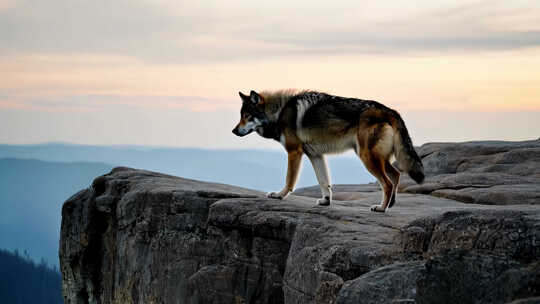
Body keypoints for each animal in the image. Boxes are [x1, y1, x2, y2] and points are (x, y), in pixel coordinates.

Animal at [230, 90, 424, 213]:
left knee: (388, 183)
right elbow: (324, 181)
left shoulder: (294, 152)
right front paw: (326, 201)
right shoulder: (315, 155)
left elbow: (289, 180)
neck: (279, 112)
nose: (233, 131)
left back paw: (381, 208)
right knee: (396, 174)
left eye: (247, 116)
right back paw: (390, 204)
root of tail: (391, 111)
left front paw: (279, 196)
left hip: (367, 158)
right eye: (241, 116)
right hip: (377, 158)